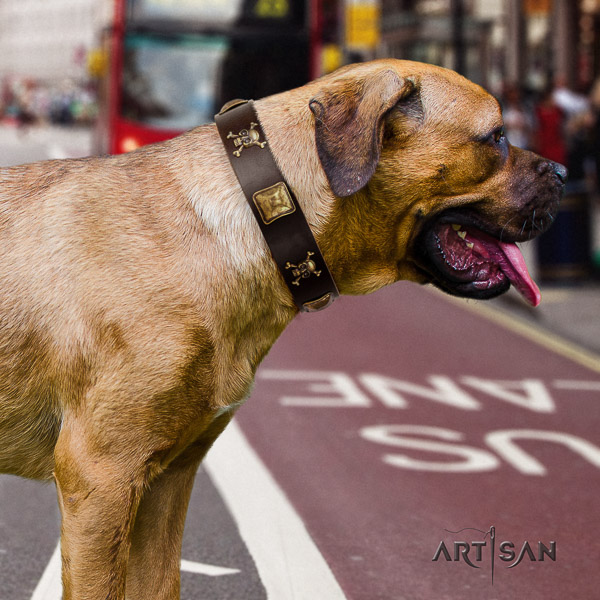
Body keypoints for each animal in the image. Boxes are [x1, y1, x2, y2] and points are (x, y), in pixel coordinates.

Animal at [0, 62, 564, 600]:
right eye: (496, 137)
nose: (563, 171)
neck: (261, 212)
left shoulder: (165, 483)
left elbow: (161, 585)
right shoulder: (102, 479)